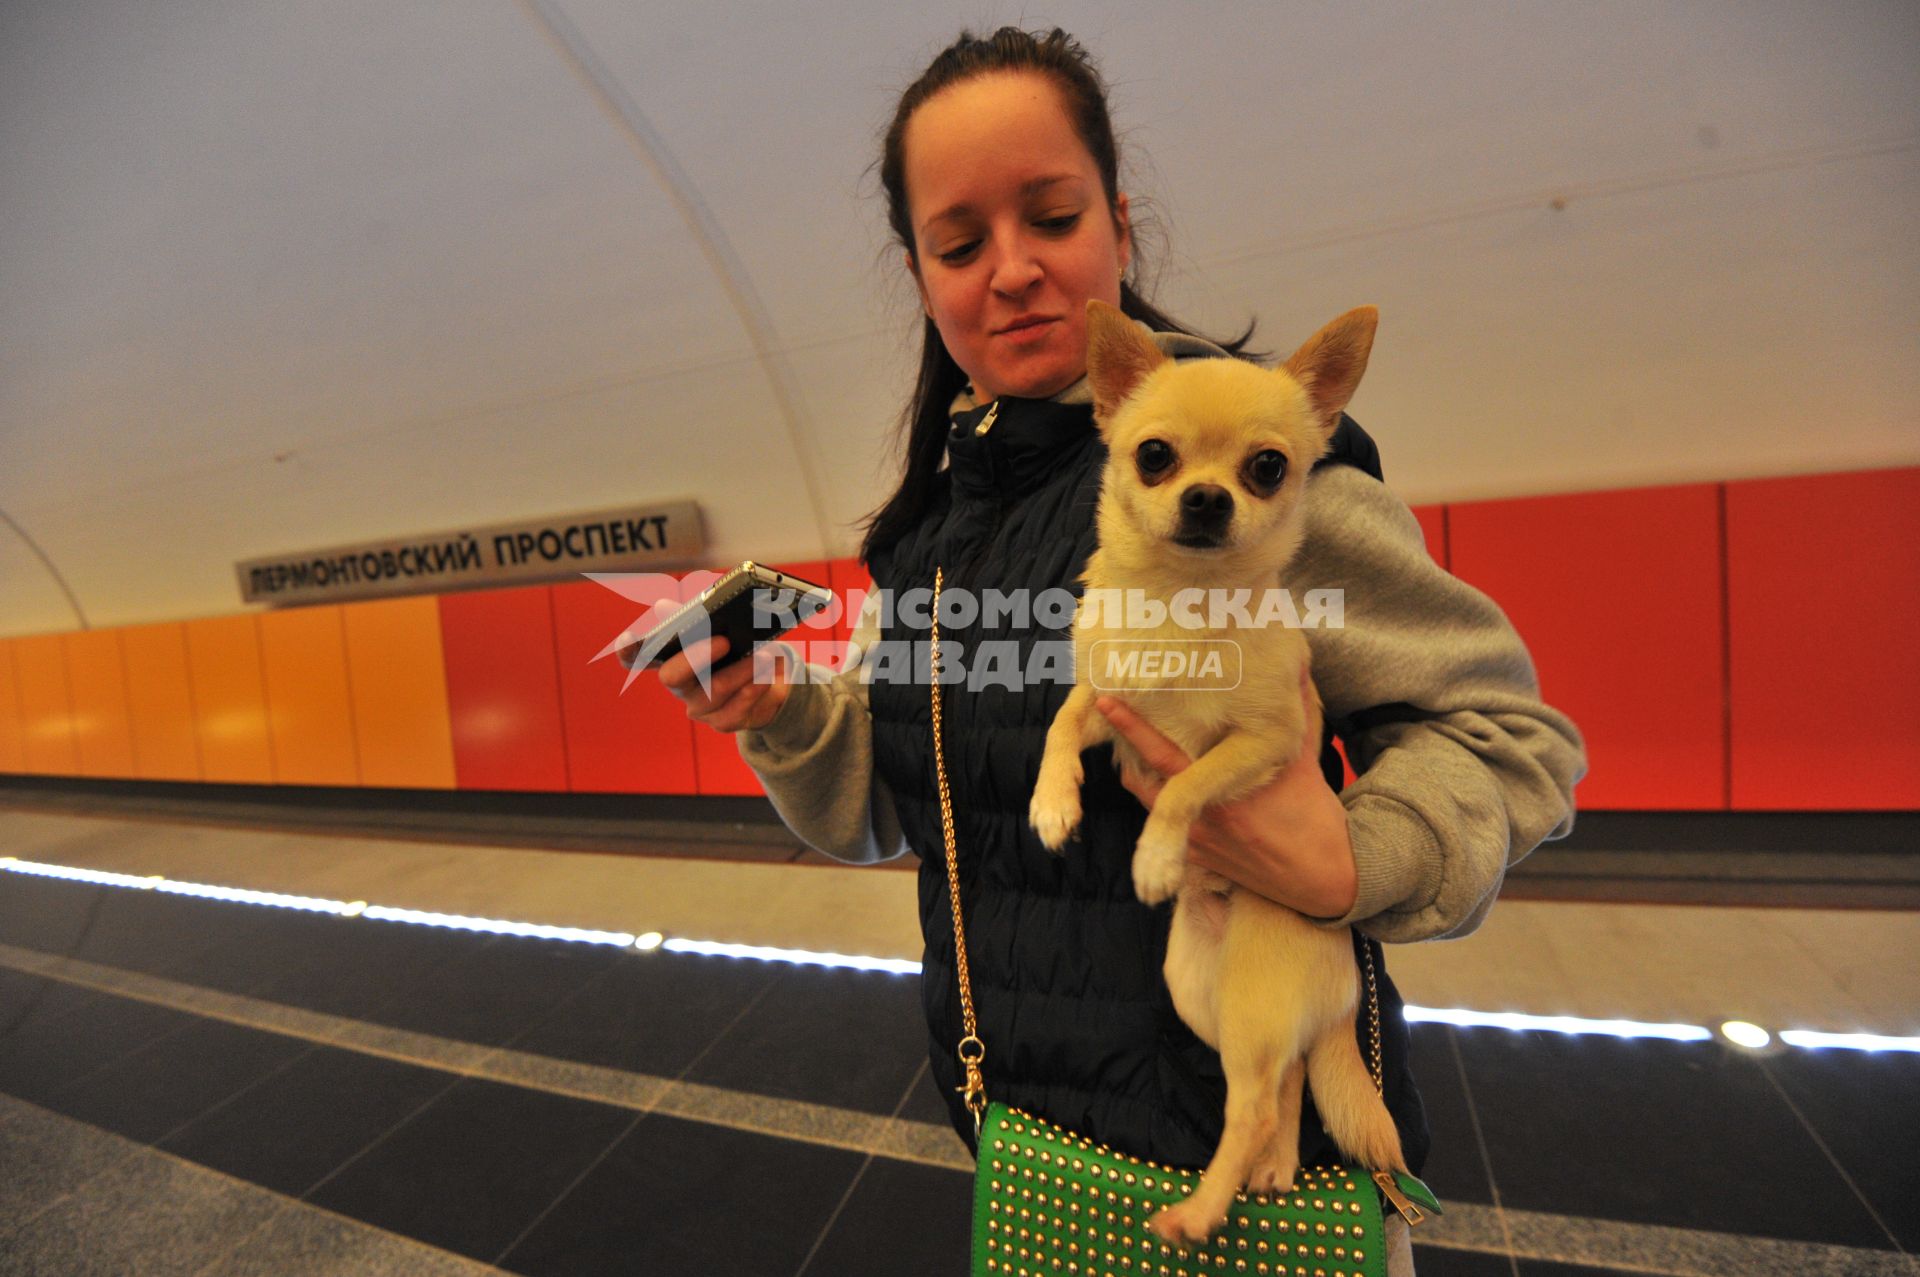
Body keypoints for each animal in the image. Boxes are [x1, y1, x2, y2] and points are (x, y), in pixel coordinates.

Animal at [1036, 295, 1413, 1236]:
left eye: (1268, 468)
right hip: (1196, 992)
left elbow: (1187, 783)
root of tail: (1341, 993)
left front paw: (1155, 855)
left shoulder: (1263, 745)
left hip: (1250, 1001)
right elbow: (1062, 721)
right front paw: (1052, 806)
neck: (1178, 602)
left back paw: (1200, 1210)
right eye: (1154, 455)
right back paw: (1272, 1167)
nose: (1206, 496)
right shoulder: (1108, 698)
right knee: (1281, 1082)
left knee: (1248, 1102)